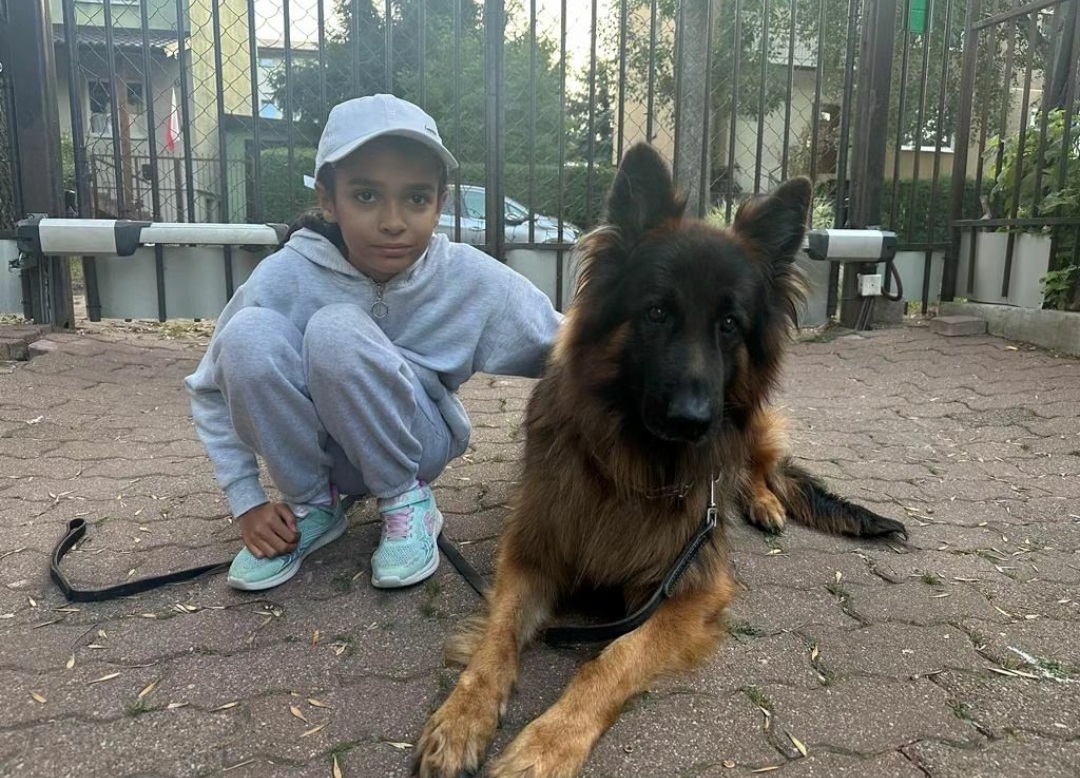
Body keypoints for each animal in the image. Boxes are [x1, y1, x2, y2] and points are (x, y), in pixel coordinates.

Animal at [414, 143, 906, 778]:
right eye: (655, 313)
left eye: (729, 324)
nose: (693, 421)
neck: (632, 465)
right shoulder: (530, 552)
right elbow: (497, 638)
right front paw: (461, 718)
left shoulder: (690, 588)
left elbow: (613, 659)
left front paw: (547, 745)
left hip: (752, 424)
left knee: (757, 470)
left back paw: (765, 503)